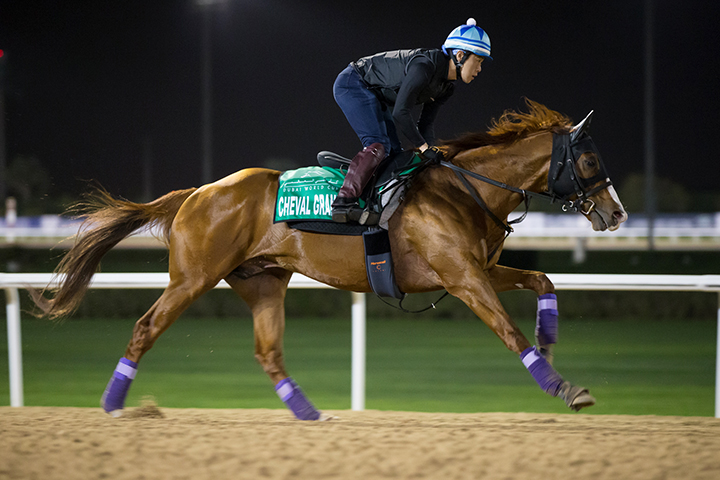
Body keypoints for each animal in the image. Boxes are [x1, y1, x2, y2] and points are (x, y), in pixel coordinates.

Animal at [31, 100, 627, 419]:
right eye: (589, 159)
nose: (616, 213)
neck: (466, 189)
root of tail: (197, 192)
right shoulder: (462, 276)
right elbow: (508, 331)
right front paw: (564, 388)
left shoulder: (479, 268)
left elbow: (542, 277)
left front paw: (550, 335)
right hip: (193, 277)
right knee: (146, 327)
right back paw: (112, 403)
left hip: (264, 281)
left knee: (268, 352)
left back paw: (311, 413)